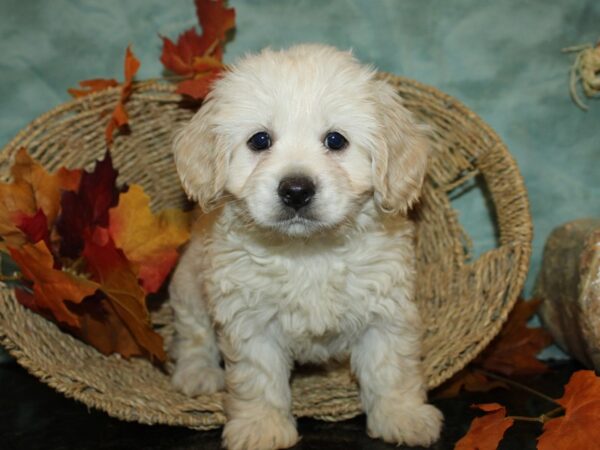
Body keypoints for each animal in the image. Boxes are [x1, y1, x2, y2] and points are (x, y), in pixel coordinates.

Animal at [168, 44, 440, 450]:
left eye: (336, 140)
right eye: (260, 140)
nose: (296, 190)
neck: (308, 251)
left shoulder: (385, 311)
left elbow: (391, 369)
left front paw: (403, 416)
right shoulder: (250, 321)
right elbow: (258, 379)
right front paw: (261, 427)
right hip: (188, 285)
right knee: (193, 333)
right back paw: (197, 372)